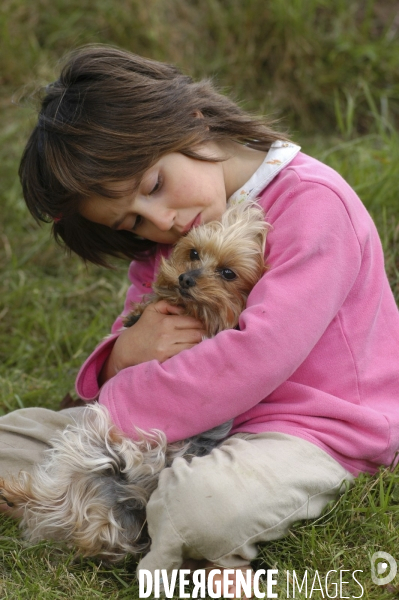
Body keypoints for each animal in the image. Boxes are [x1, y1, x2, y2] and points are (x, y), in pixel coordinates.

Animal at [0, 202, 268, 564]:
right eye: (193, 253)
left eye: (228, 273)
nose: (185, 278)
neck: (197, 314)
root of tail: (129, 497)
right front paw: (140, 310)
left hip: (96, 448)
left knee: (56, 497)